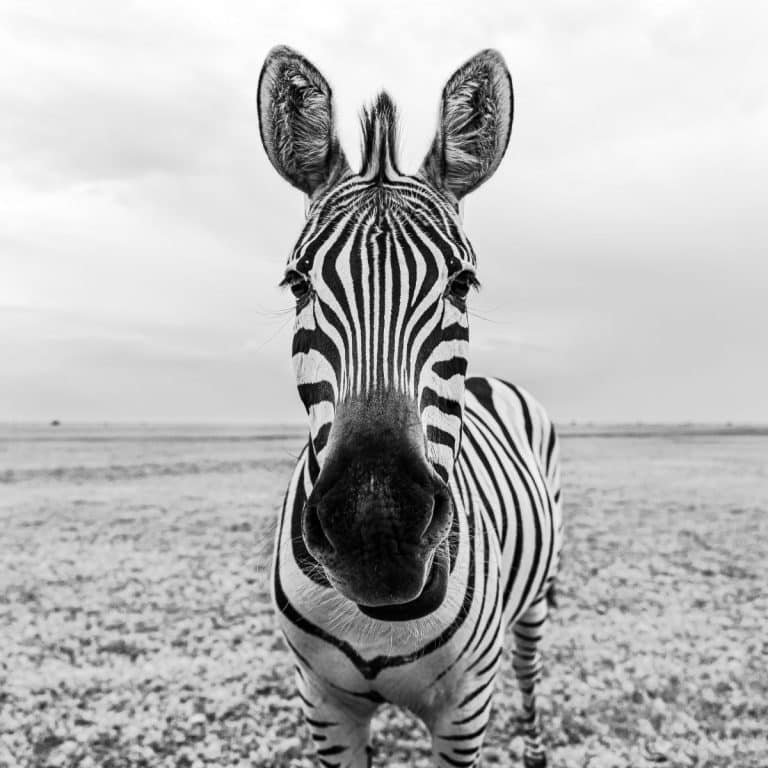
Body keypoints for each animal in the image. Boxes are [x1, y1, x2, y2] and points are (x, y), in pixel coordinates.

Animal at [257, 45, 564, 768]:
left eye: (463, 283)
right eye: (297, 283)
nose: (379, 530)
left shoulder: (463, 711)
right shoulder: (323, 704)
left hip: (537, 598)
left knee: (529, 669)